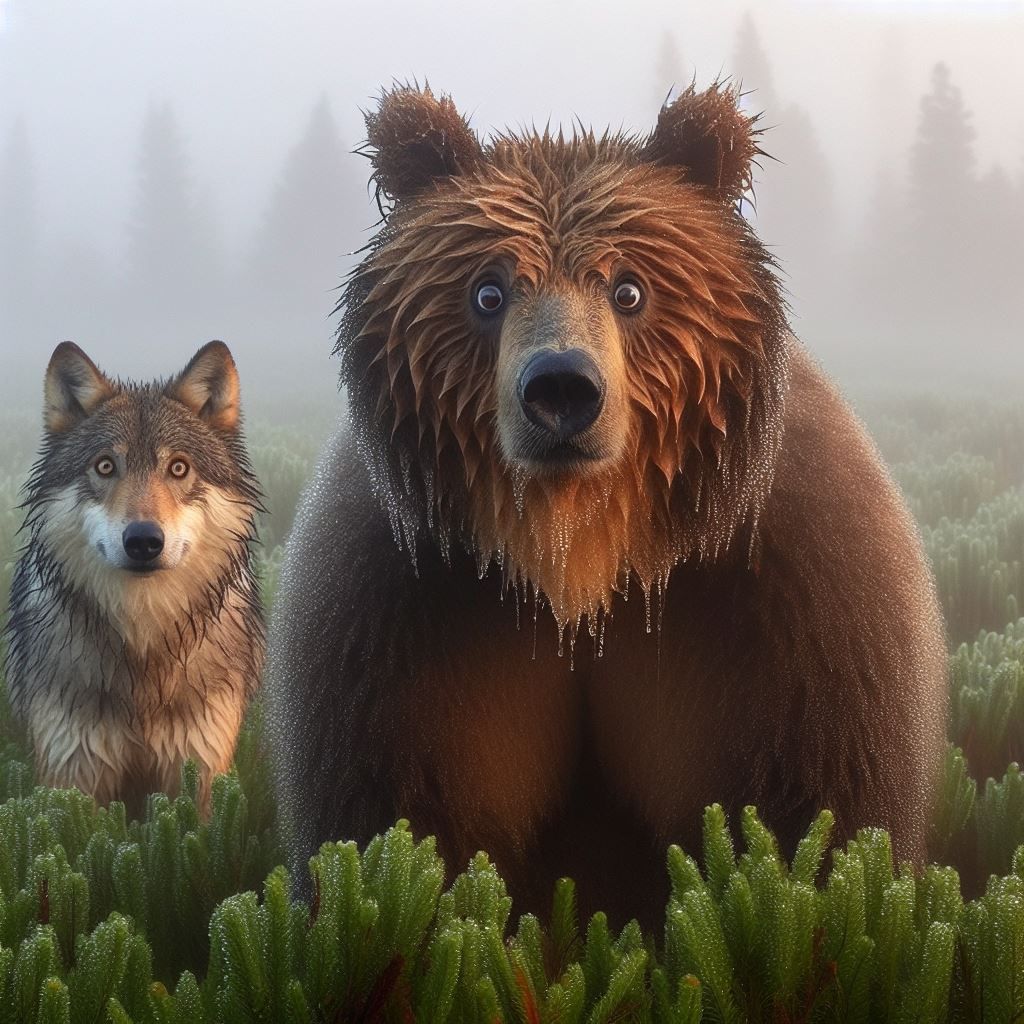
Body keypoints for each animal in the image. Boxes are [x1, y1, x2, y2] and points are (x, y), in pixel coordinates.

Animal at [5, 340, 264, 817]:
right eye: (106, 466)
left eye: (178, 468)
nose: (143, 540)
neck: (142, 637)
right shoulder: (73, 771)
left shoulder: (199, 767)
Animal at [264, 83, 948, 927]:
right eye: (487, 290)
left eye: (629, 289)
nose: (562, 389)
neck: (580, 556)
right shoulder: (406, 610)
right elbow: (404, 822)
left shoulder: (790, 595)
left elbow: (810, 811)